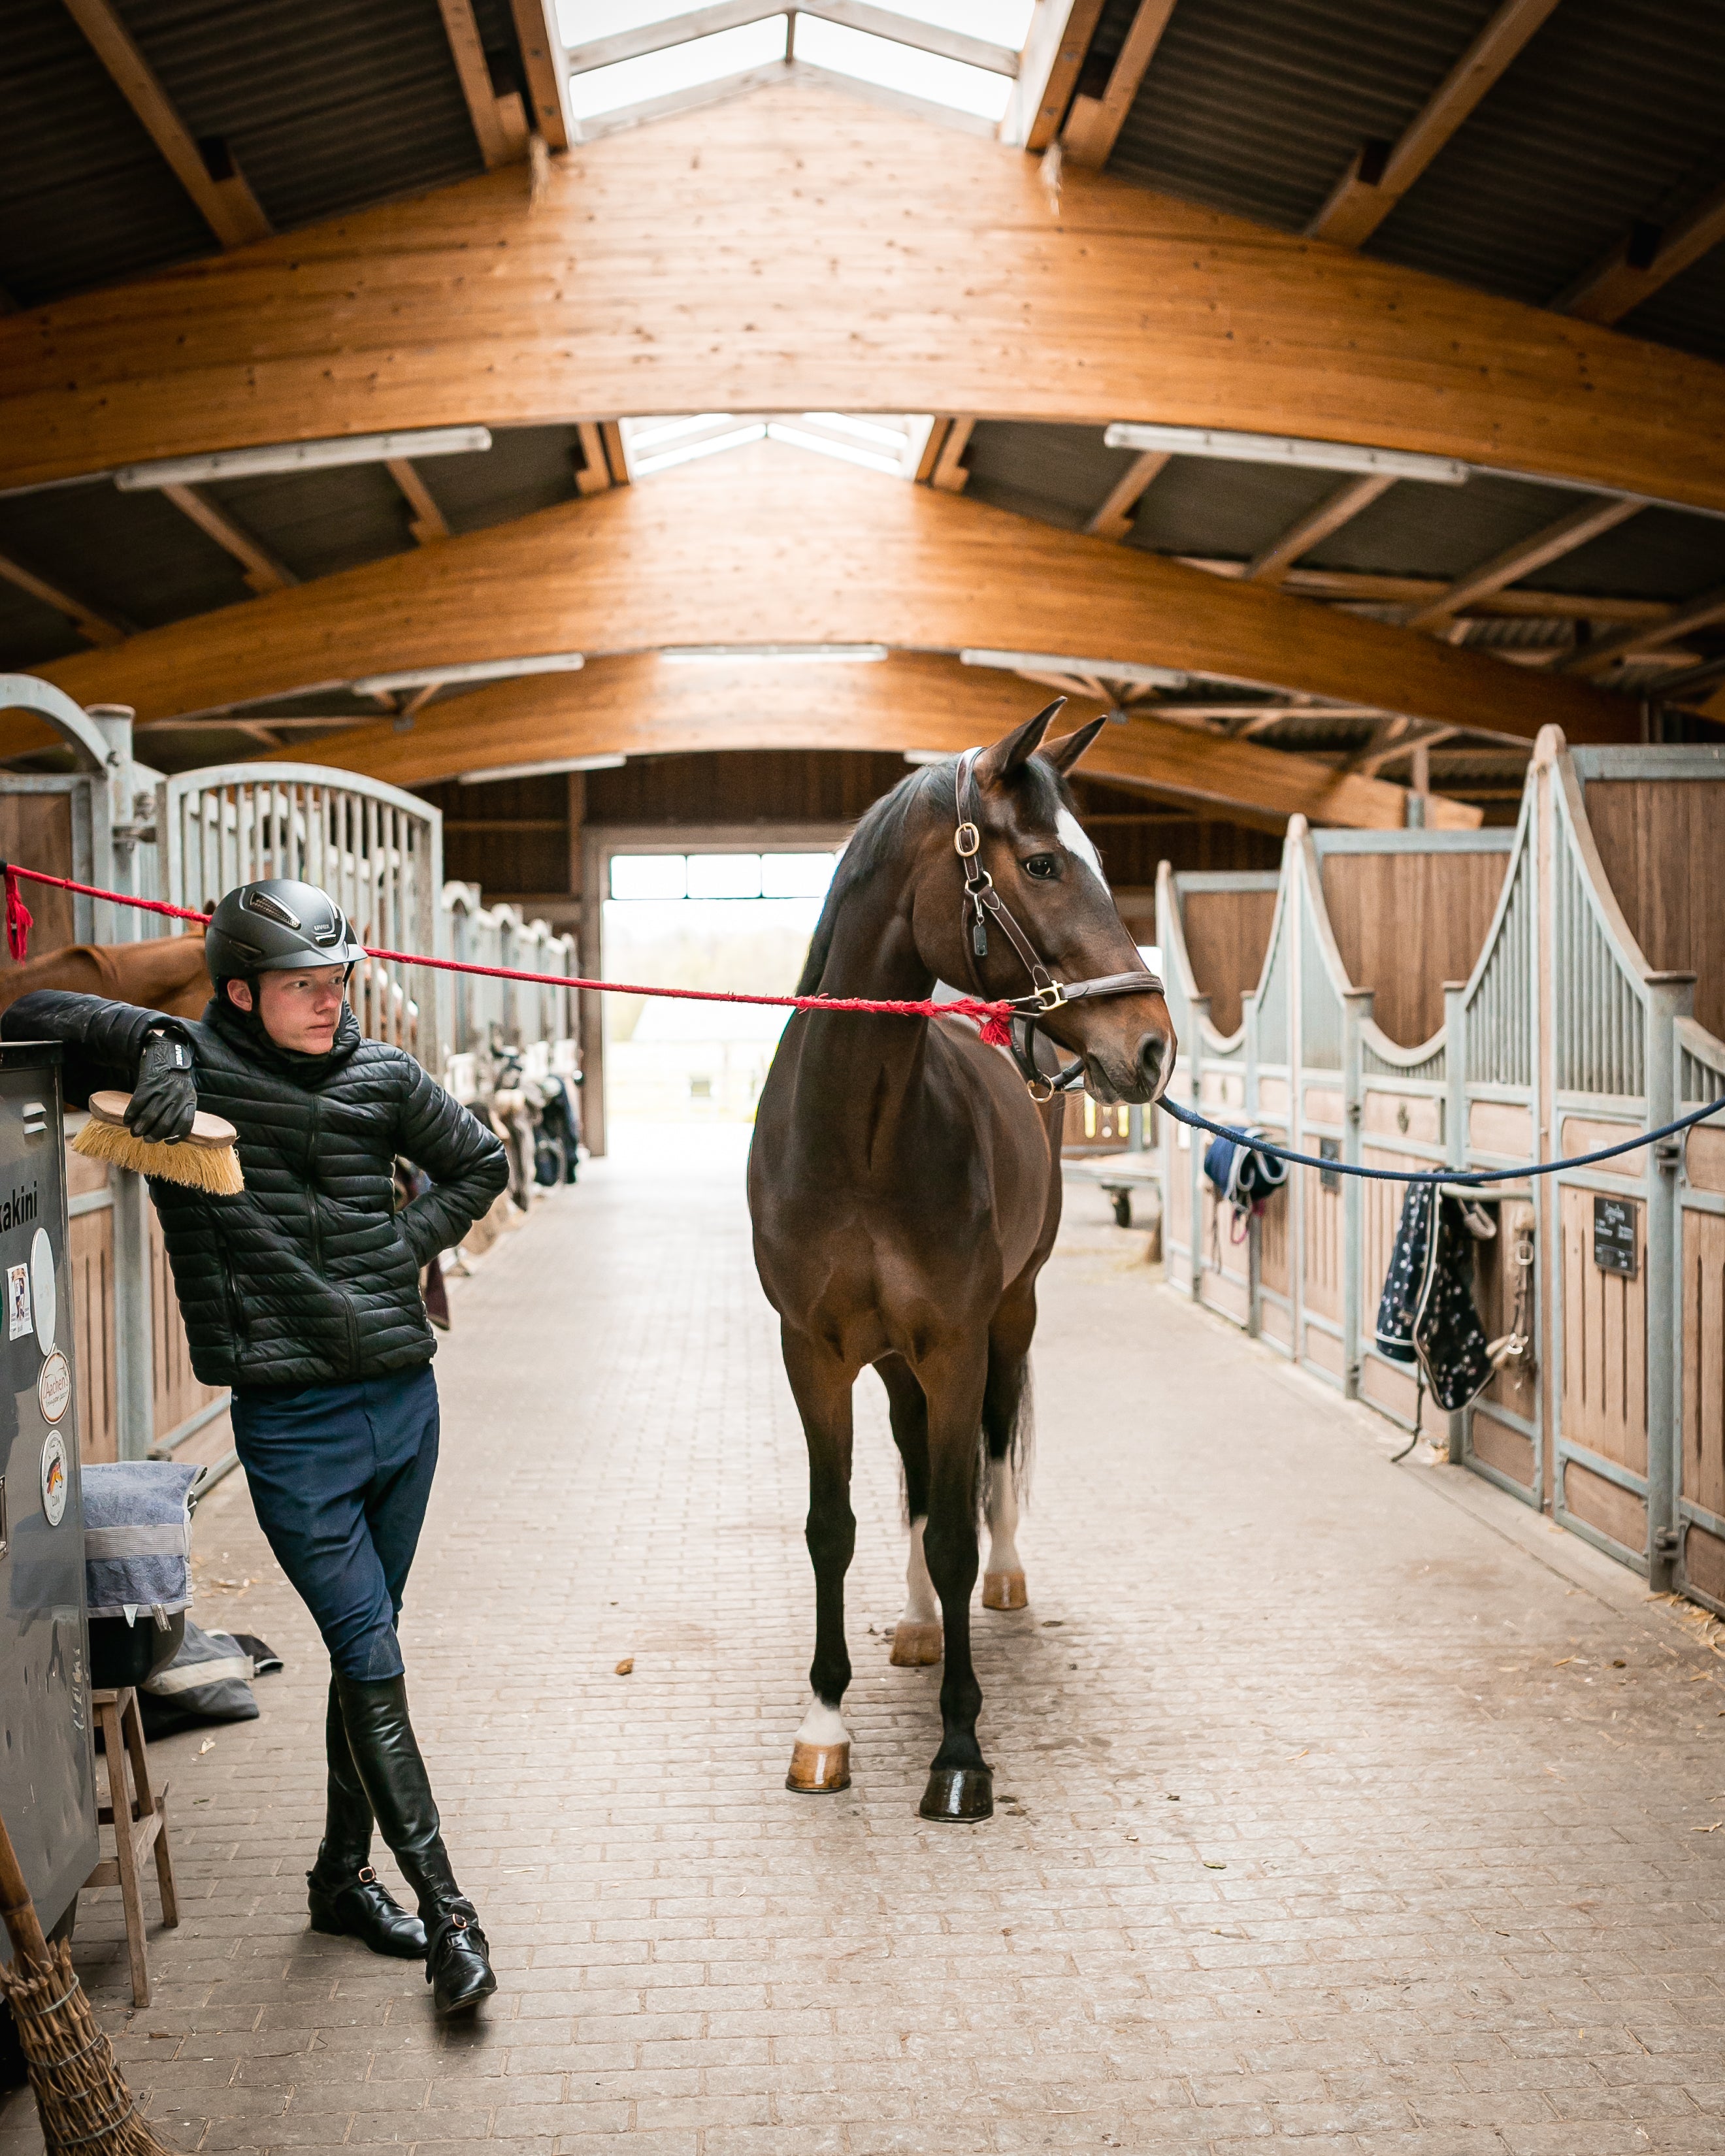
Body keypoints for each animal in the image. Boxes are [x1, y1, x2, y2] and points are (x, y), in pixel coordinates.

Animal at [750, 707, 1173, 1820]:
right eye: (1043, 864)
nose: (1153, 1047)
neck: (859, 1139)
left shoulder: (955, 1342)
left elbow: (955, 1529)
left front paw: (959, 1751)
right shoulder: (814, 1354)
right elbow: (835, 1526)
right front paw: (824, 1729)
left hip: (1007, 1321)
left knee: (990, 1450)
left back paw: (1001, 1584)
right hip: (898, 1360)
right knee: (912, 1466)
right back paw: (915, 1623)